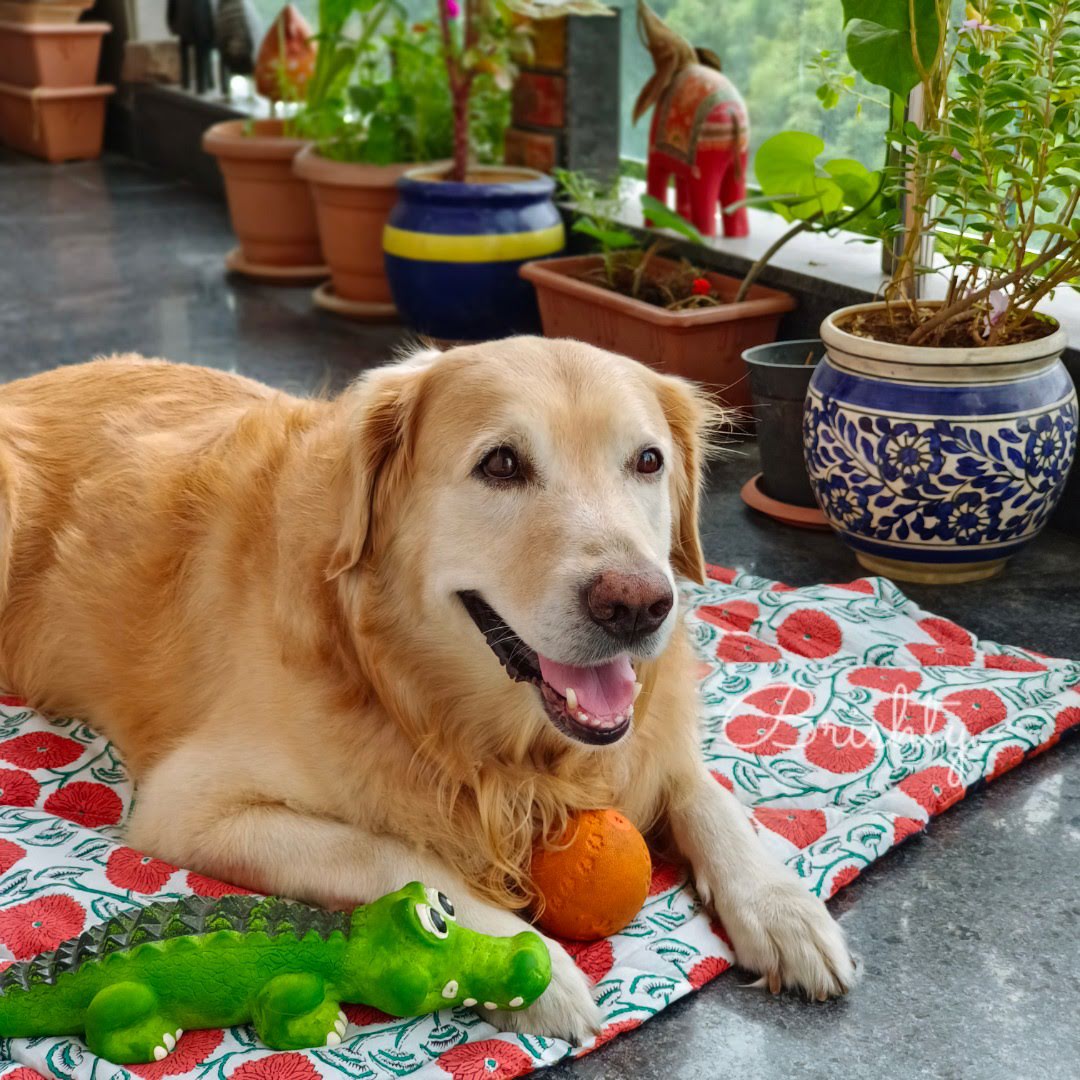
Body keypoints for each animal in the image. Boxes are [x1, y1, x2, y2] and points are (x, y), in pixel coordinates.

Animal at [0, 341, 851, 1041]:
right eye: (501, 464)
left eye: (647, 461)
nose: (640, 605)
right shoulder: (189, 806)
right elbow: (395, 852)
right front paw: (527, 960)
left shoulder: (648, 740)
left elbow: (710, 796)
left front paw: (782, 906)